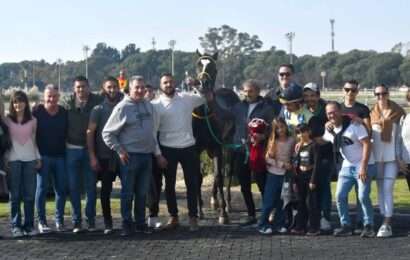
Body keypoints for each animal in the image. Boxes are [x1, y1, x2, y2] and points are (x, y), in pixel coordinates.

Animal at [193, 49, 240, 224]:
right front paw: (199, 211)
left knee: (228, 171)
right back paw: (214, 201)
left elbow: (219, 176)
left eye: (214, 68)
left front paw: (223, 214)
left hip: (228, 143)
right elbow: (197, 177)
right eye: (198, 65)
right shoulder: (196, 149)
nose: (203, 83)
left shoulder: (217, 146)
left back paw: (227, 203)